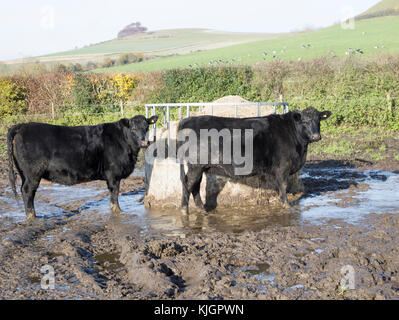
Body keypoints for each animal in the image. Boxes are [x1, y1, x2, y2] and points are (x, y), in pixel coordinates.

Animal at [7, 115, 158, 220]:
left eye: (146, 127)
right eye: (133, 128)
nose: (144, 142)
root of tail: (22, 126)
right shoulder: (113, 174)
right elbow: (114, 194)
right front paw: (117, 212)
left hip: (24, 173)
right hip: (33, 173)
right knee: (27, 191)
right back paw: (32, 216)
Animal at [178, 106, 332, 214]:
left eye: (318, 120)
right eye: (305, 121)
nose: (316, 136)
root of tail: (187, 120)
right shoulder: (282, 166)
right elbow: (283, 185)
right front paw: (286, 204)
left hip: (200, 166)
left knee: (195, 186)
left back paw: (202, 209)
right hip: (195, 166)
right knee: (188, 184)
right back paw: (184, 210)